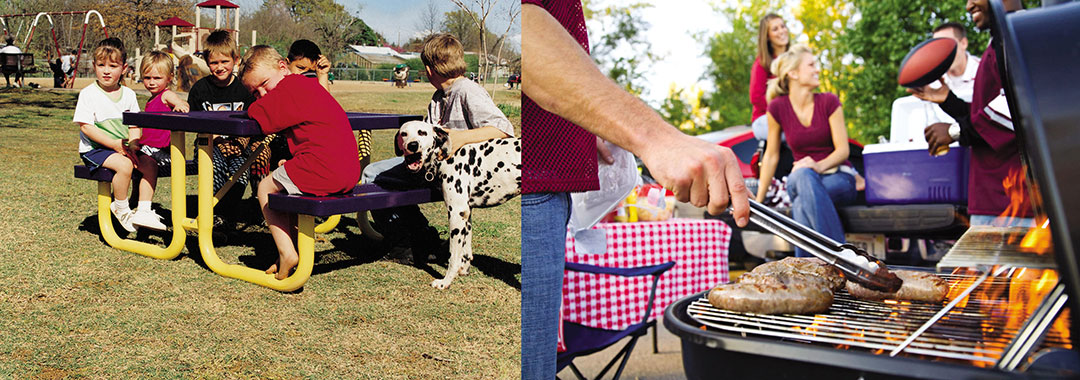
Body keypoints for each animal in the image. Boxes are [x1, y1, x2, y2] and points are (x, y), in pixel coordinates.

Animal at [397, 120, 522, 289]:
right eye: (404, 134)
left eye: (422, 132)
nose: (412, 145)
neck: (446, 155)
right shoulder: (466, 213)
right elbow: (466, 250)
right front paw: (464, 269)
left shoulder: (456, 213)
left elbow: (453, 257)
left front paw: (445, 281)